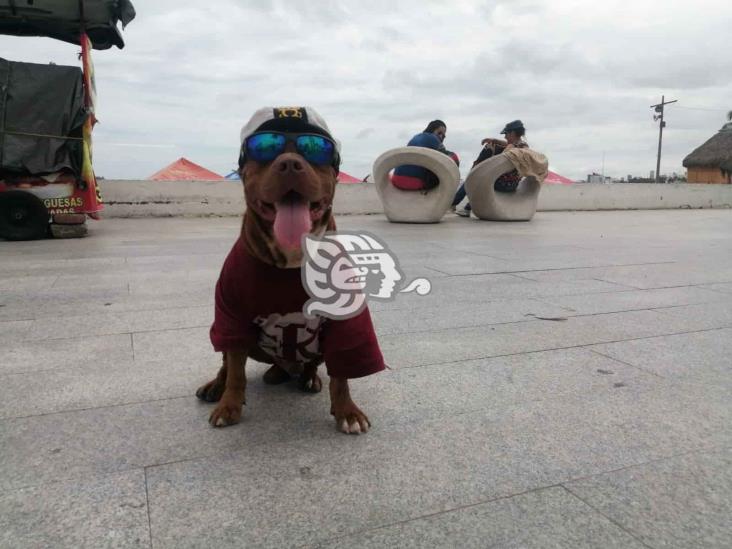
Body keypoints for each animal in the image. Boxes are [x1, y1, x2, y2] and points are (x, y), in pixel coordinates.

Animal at [197, 107, 386, 432]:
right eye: (267, 149)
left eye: (313, 150)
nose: (289, 164)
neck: (292, 257)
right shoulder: (230, 317)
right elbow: (235, 370)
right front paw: (229, 405)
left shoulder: (346, 322)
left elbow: (342, 374)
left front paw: (347, 412)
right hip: (228, 332)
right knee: (227, 361)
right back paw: (219, 386)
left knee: (311, 364)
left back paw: (306, 378)